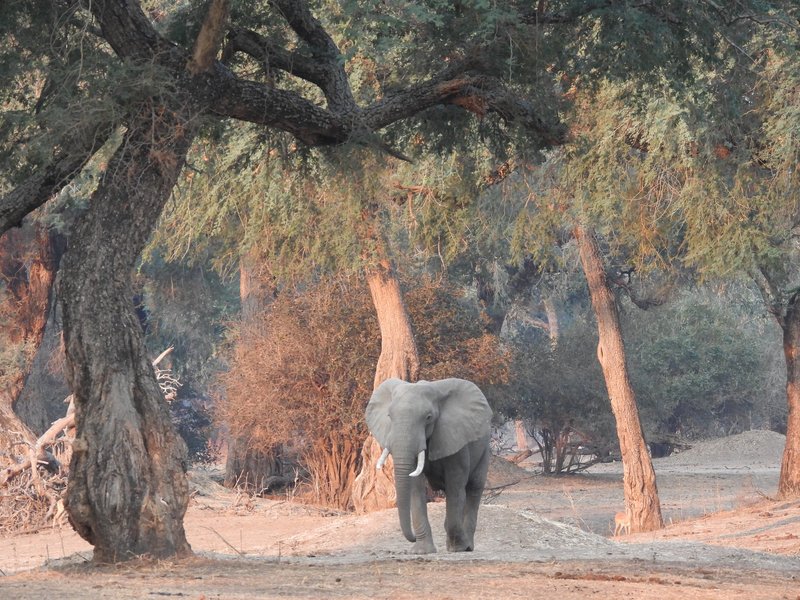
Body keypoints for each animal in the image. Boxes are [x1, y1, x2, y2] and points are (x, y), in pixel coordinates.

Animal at [365, 377, 493, 554]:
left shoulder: (455, 439)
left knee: (474, 488)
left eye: (428, 417)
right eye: (389, 416)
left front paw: (458, 548)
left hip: (484, 447)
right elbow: (416, 488)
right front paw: (422, 551)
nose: (411, 538)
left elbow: (455, 487)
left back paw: (467, 547)